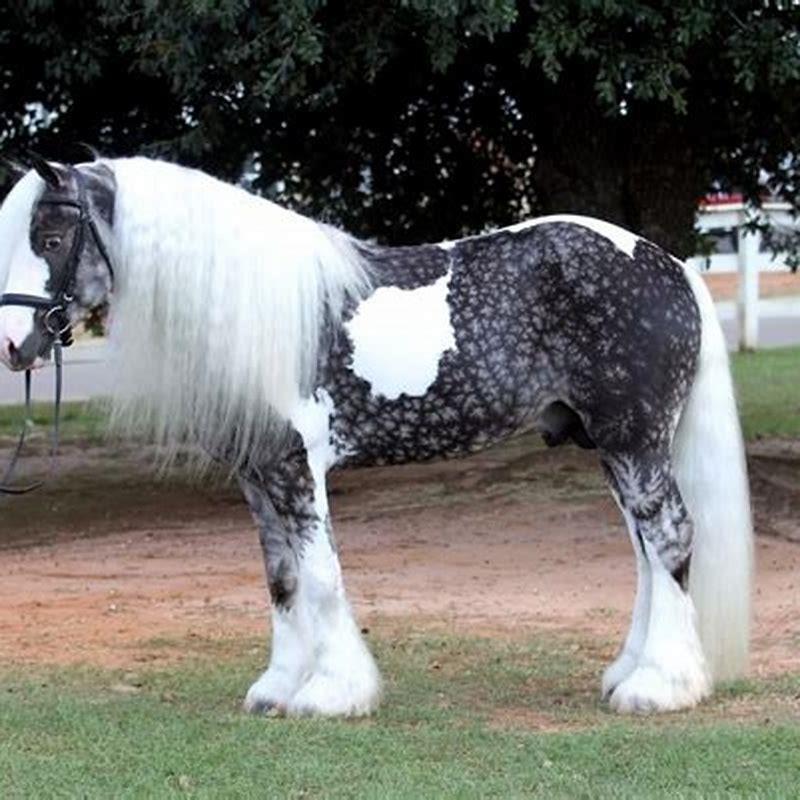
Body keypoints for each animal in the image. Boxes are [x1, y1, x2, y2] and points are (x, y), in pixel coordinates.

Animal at [0, 156, 752, 716]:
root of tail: (668, 264)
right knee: (646, 553)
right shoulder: (258, 475)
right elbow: (281, 578)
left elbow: (321, 575)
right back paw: (630, 672)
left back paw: (660, 687)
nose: (12, 345)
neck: (266, 313)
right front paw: (278, 687)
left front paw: (332, 692)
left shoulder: (297, 467)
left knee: (669, 538)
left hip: (635, 439)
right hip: (614, 446)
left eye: (53, 238)